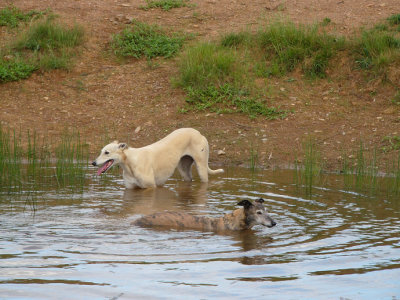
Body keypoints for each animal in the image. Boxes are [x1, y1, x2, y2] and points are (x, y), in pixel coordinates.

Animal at [92, 127, 225, 189]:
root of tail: (199, 133)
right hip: (183, 167)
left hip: (201, 167)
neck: (130, 162)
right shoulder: (130, 188)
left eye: (107, 152)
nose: (93, 163)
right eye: (101, 151)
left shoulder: (150, 187)